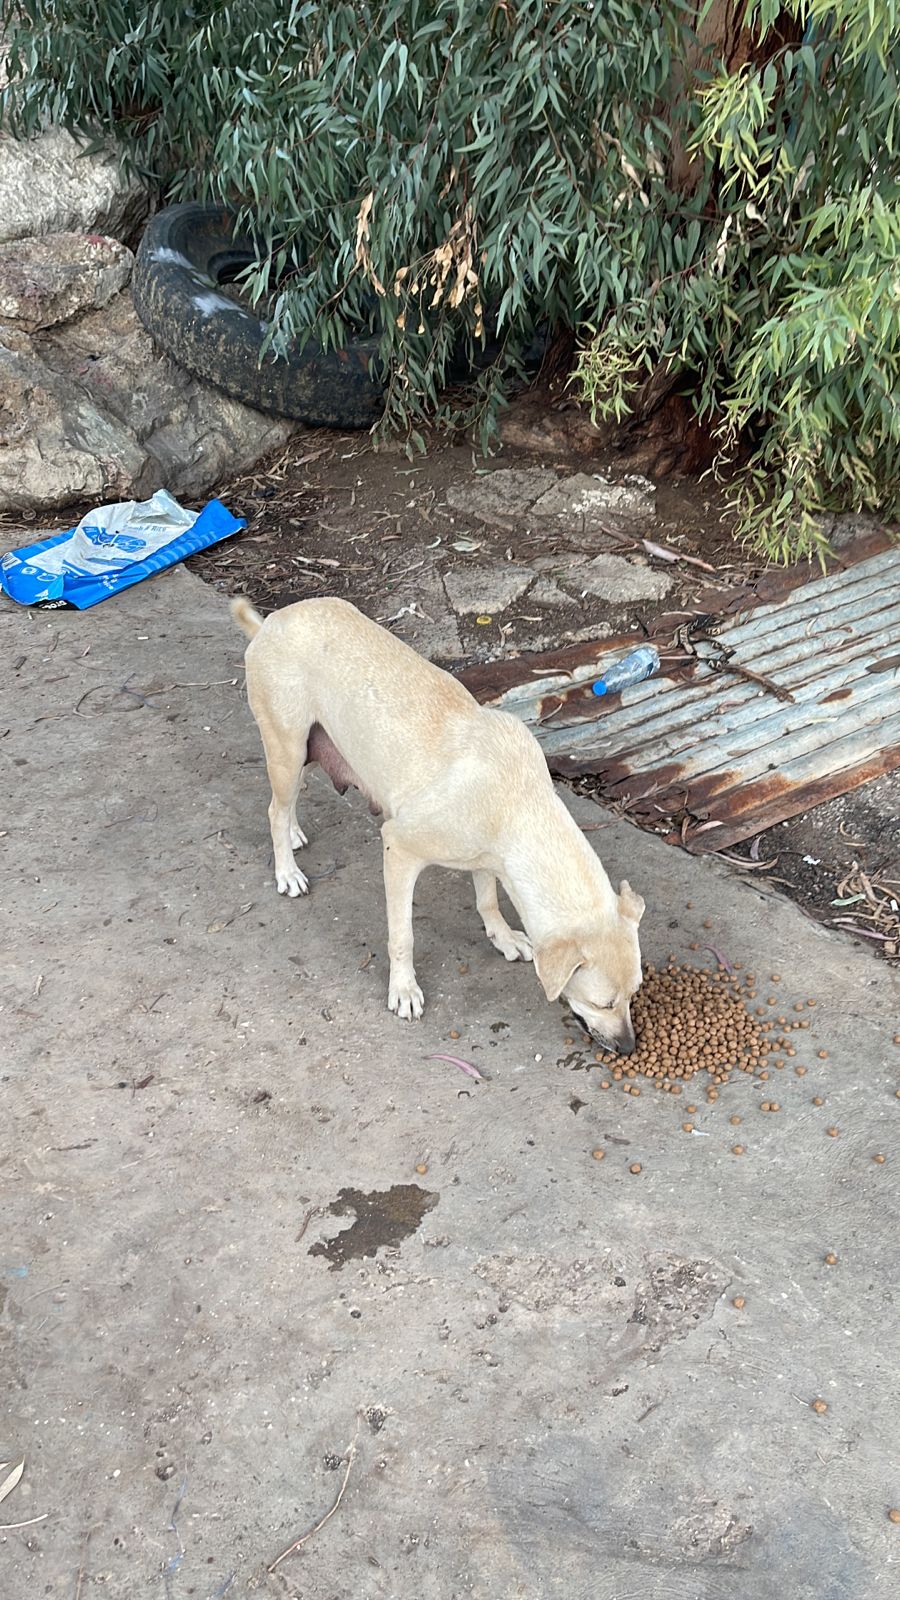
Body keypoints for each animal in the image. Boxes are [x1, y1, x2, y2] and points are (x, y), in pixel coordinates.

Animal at [231, 595, 645, 1053]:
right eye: (603, 1002)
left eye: (634, 995)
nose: (630, 1047)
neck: (519, 804)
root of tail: (270, 623)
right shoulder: (398, 848)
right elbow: (402, 936)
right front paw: (403, 989)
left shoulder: (486, 858)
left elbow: (488, 900)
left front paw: (503, 937)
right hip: (287, 749)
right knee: (275, 809)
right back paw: (287, 871)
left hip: (308, 750)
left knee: (287, 803)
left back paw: (294, 834)